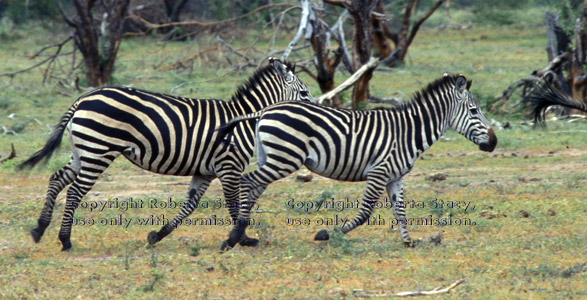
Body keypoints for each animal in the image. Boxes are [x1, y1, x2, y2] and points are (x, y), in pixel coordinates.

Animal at [16, 58, 314, 251]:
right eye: (304, 93)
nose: (317, 111)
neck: (243, 121)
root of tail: (83, 98)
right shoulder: (229, 166)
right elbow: (232, 204)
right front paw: (241, 238)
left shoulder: (205, 170)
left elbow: (189, 205)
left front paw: (158, 235)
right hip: (98, 150)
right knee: (75, 192)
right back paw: (65, 240)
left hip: (84, 151)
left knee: (57, 179)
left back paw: (39, 228)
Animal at [218, 74, 498, 250]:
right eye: (474, 111)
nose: (494, 142)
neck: (408, 132)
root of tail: (266, 109)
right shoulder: (379, 172)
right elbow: (365, 212)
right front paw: (327, 234)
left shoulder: (395, 176)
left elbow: (401, 211)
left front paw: (408, 242)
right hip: (285, 158)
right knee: (247, 181)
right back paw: (234, 236)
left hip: (272, 157)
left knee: (254, 186)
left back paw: (240, 234)